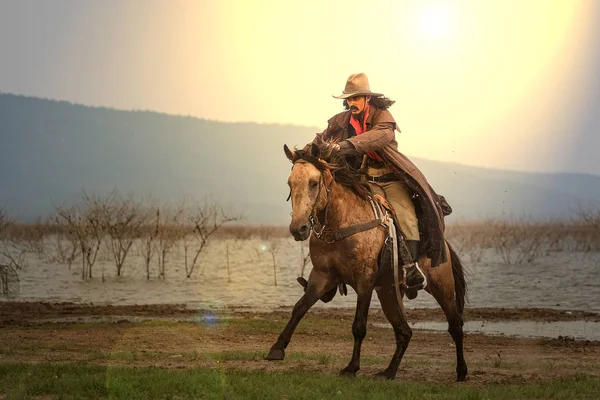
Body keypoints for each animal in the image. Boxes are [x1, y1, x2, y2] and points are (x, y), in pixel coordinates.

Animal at [268, 141, 468, 382]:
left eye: (314, 183)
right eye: (290, 183)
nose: (299, 229)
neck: (341, 222)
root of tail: (443, 244)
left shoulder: (364, 280)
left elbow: (359, 325)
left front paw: (352, 367)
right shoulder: (321, 276)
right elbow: (299, 308)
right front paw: (277, 348)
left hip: (441, 285)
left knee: (455, 325)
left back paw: (461, 371)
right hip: (389, 292)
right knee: (404, 332)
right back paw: (389, 371)